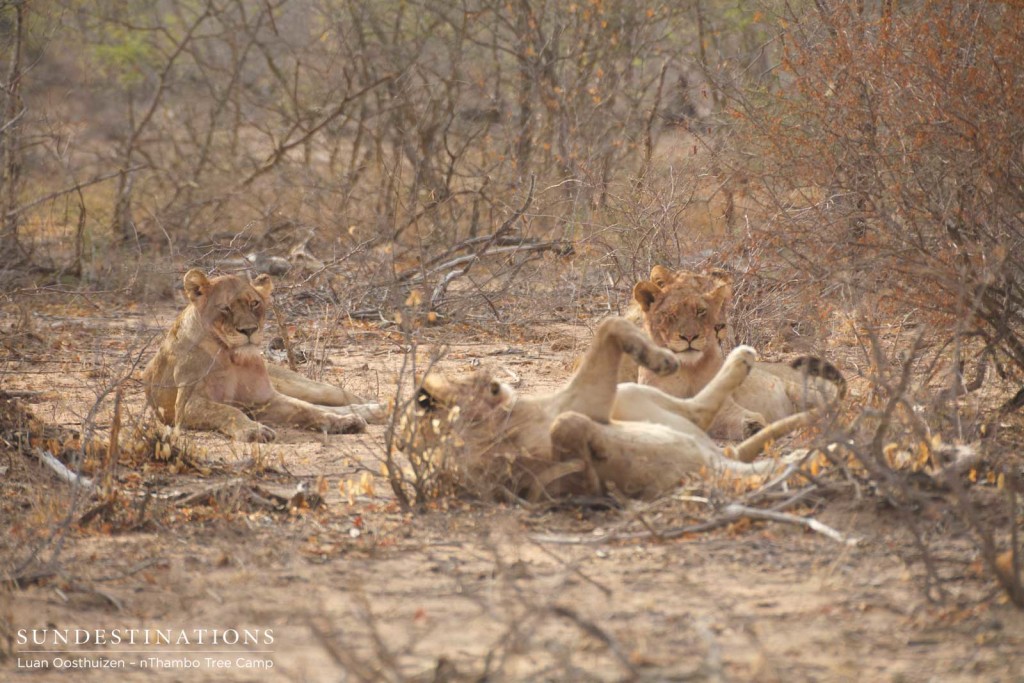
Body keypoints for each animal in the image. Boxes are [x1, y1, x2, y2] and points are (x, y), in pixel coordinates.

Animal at [141, 270, 385, 440]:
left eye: (254, 303)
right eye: (225, 308)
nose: (249, 330)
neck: (232, 357)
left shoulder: (265, 399)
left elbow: (306, 409)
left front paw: (341, 423)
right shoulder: (187, 405)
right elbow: (228, 411)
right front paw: (253, 431)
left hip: (302, 385)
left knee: (338, 397)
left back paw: (377, 410)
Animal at [395, 317, 811, 501]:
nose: (495, 383)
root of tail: (719, 457)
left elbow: (610, 325)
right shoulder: (584, 399)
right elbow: (609, 325)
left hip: (627, 395)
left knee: (700, 411)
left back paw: (741, 361)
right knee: (707, 419)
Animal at [626, 264, 843, 440]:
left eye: (701, 311)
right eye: (670, 314)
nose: (690, 337)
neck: (687, 368)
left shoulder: (723, 404)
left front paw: (756, 427)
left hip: (801, 390)